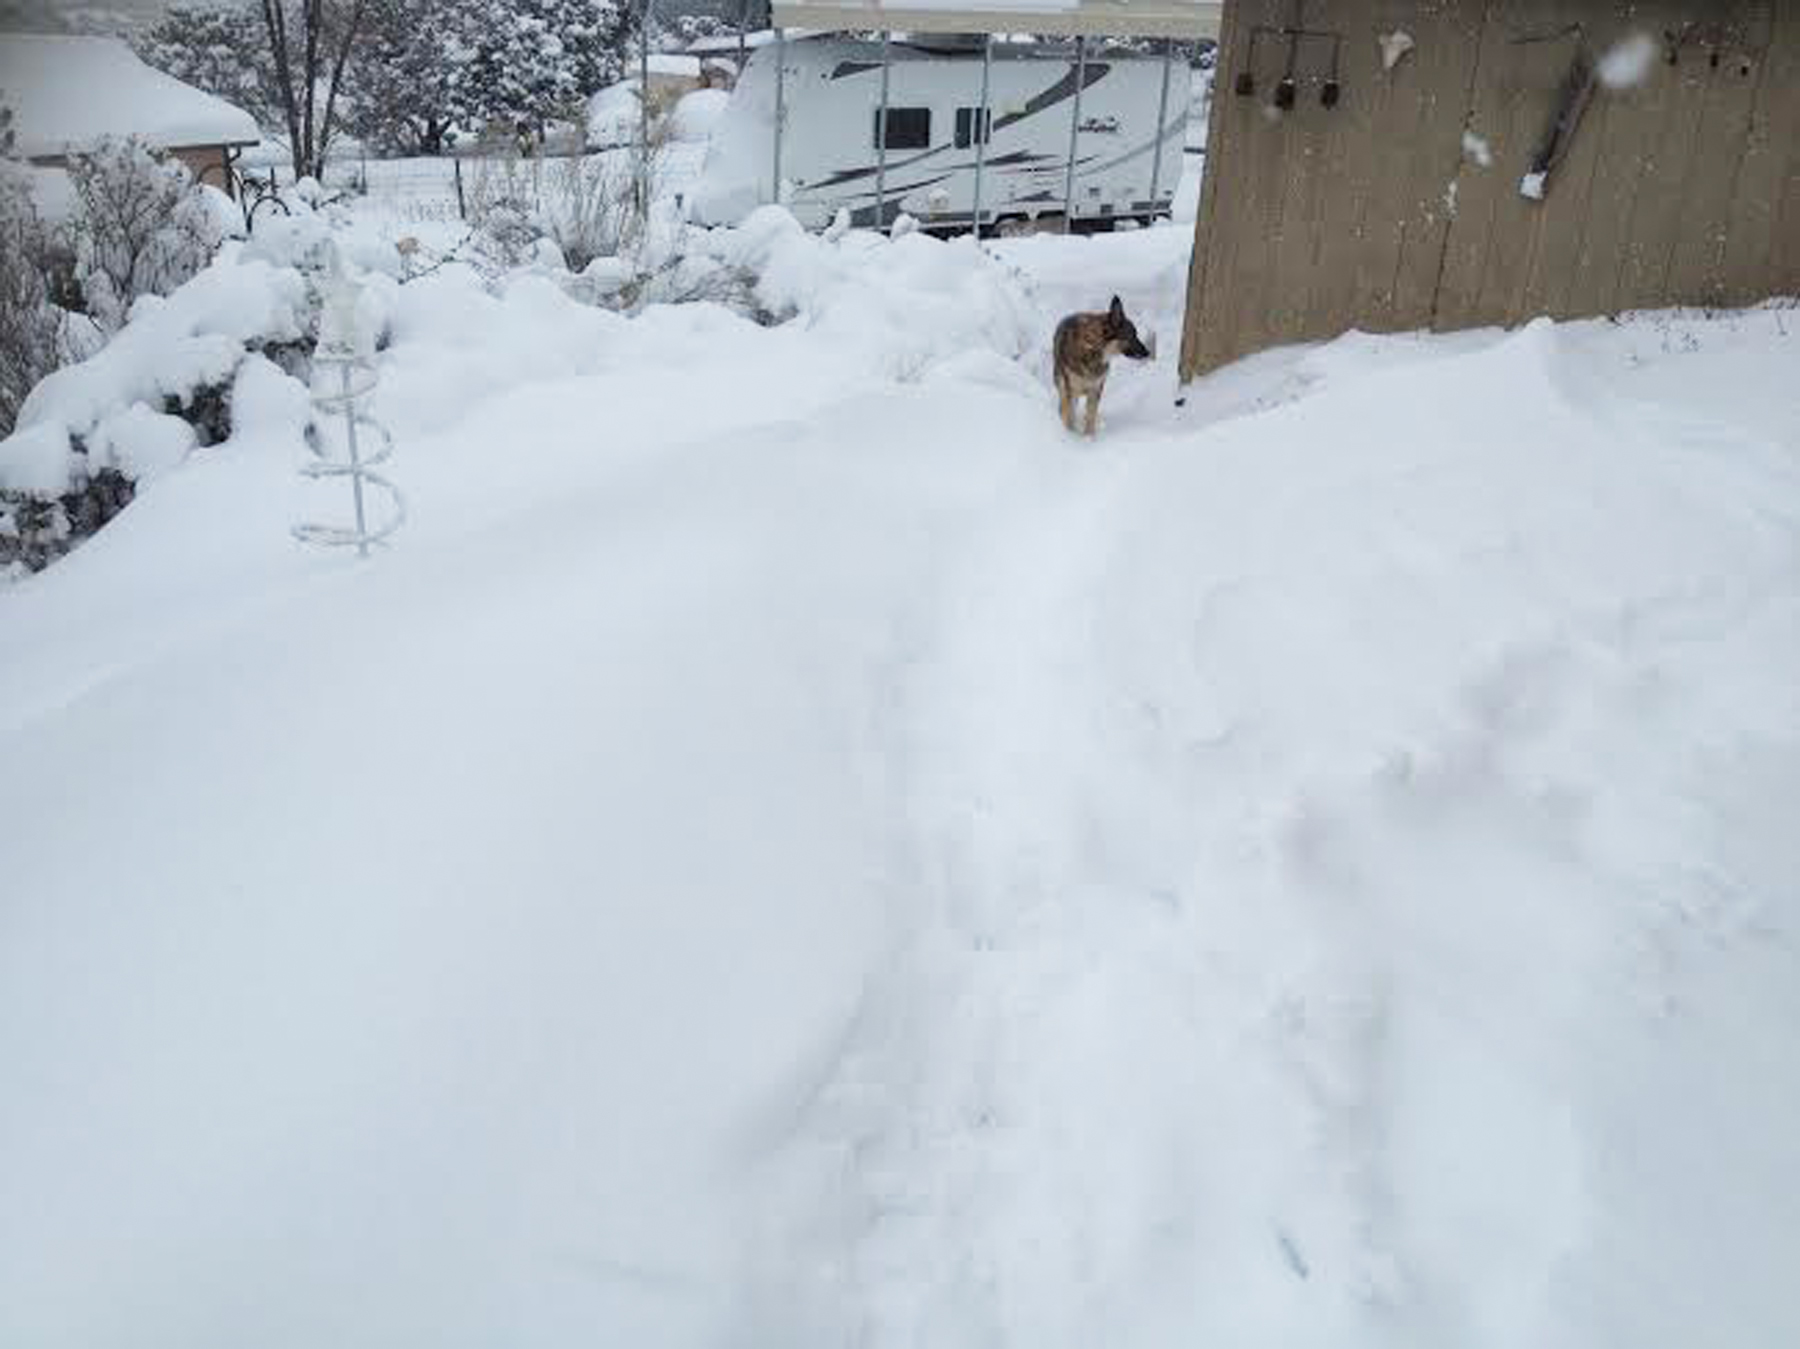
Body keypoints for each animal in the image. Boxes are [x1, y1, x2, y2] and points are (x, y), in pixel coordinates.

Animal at [1051, 295, 1152, 437]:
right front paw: (1071, 436)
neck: (1093, 347)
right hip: (1065, 388)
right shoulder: (1071, 391)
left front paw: (1089, 438)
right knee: (1064, 408)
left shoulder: (1095, 390)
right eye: (1132, 336)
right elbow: (1069, 417)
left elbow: (1090, 417)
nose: (1147, 352)